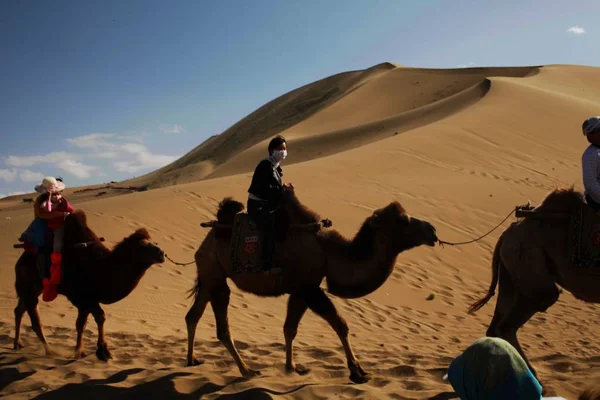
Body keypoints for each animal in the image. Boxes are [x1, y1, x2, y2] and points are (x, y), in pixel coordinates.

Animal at [14, 211, 164, 360]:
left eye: (154, 242)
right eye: (141, 245)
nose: (161, 253)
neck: (100, 267)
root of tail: (19, 261)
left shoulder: (88, 300)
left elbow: (89, 321)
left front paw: (97, 351)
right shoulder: (81, 298)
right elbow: (90, 320)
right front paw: (87, 352)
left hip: (34, 287)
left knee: (19, 310)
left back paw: (17, 344)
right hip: (28, 284)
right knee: (35, 319)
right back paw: (50, 351)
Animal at [185, 189, 438, 382]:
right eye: (403, 220)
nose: (432, 230)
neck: (329, 254)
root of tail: (204, 242)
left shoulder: (300, 290)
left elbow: (290, 328)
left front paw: (292, 367)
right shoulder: (310, 288)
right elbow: (340, 324)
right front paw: (357, 371)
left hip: (209, 275)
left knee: (193, 315)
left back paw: (192, 360)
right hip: (216, 276)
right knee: (222, 327)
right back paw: (247, 370)